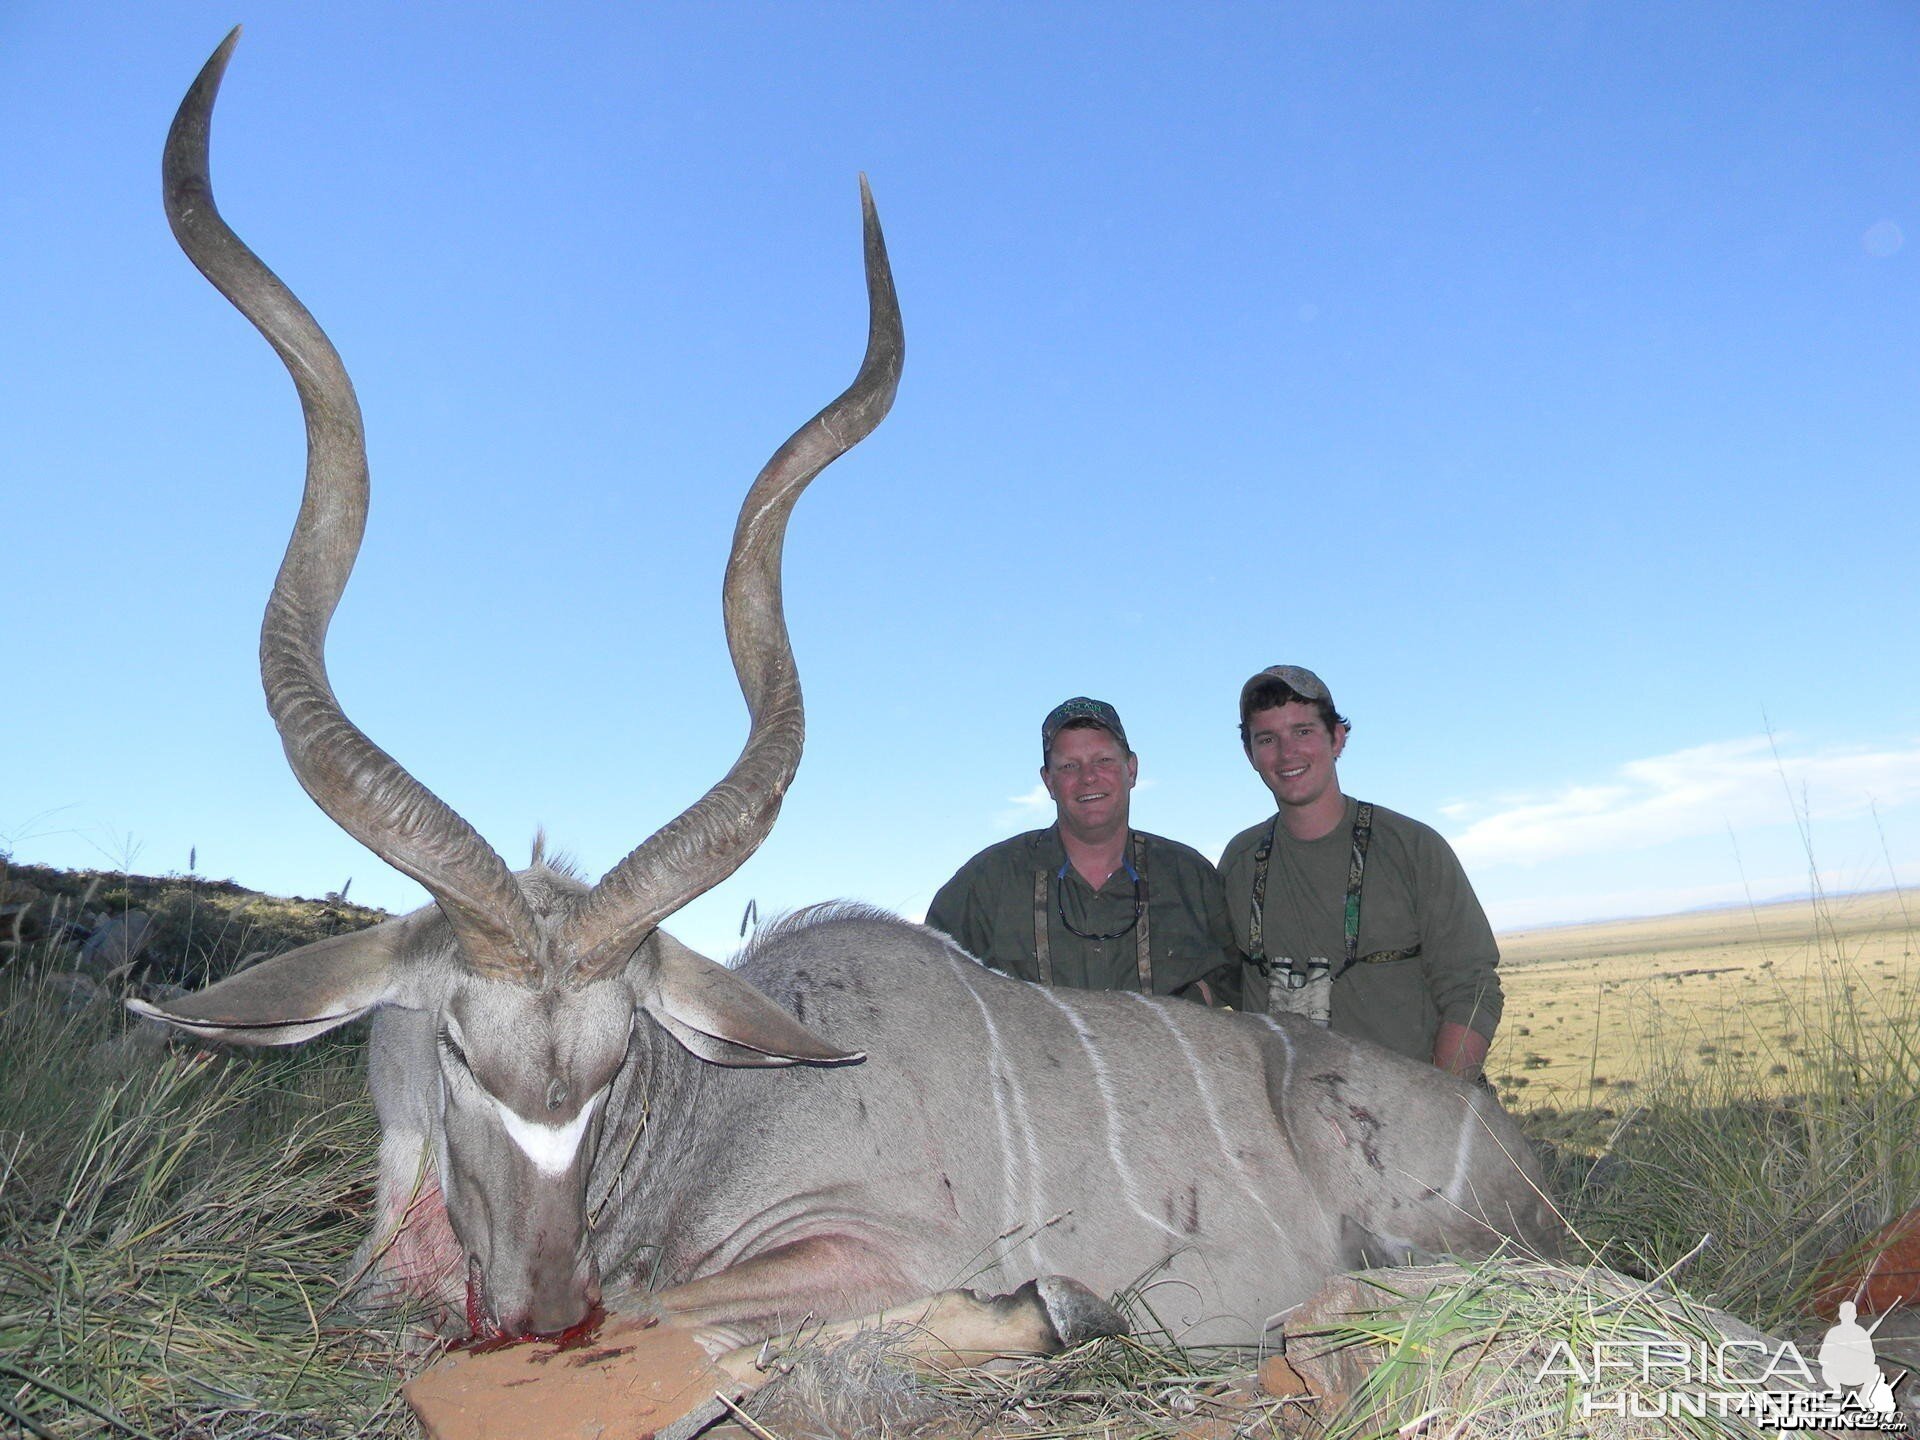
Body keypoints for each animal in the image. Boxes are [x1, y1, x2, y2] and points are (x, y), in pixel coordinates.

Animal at [139, 30, 1559, 1367]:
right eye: (455, 1051)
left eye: (612, 1064)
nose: (543, 1312)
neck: (710, 1112)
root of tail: (1517, 1155)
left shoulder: (871, 1248)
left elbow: (684, 1310)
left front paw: (1048, 1307)